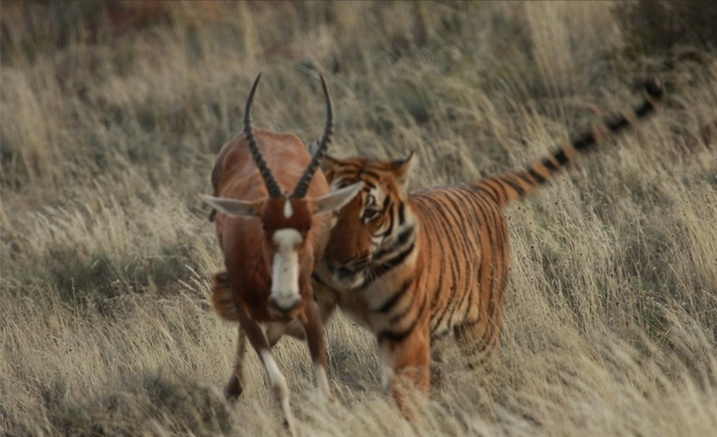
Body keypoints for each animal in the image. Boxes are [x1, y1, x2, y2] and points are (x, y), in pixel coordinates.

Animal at [200, 75, 358, 432]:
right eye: (263, 225)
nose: (284, 302)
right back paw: (232, 389)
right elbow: (278, 384)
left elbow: (324, 391)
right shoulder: (248, 312)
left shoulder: (309, 312)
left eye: (308, 225)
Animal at [310, 77, 664, 408]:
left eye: (371, 213)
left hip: (480, 326)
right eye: (334, 210)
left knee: (485, 378)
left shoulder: (404, 330)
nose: (342, 259)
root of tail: (476, 187)